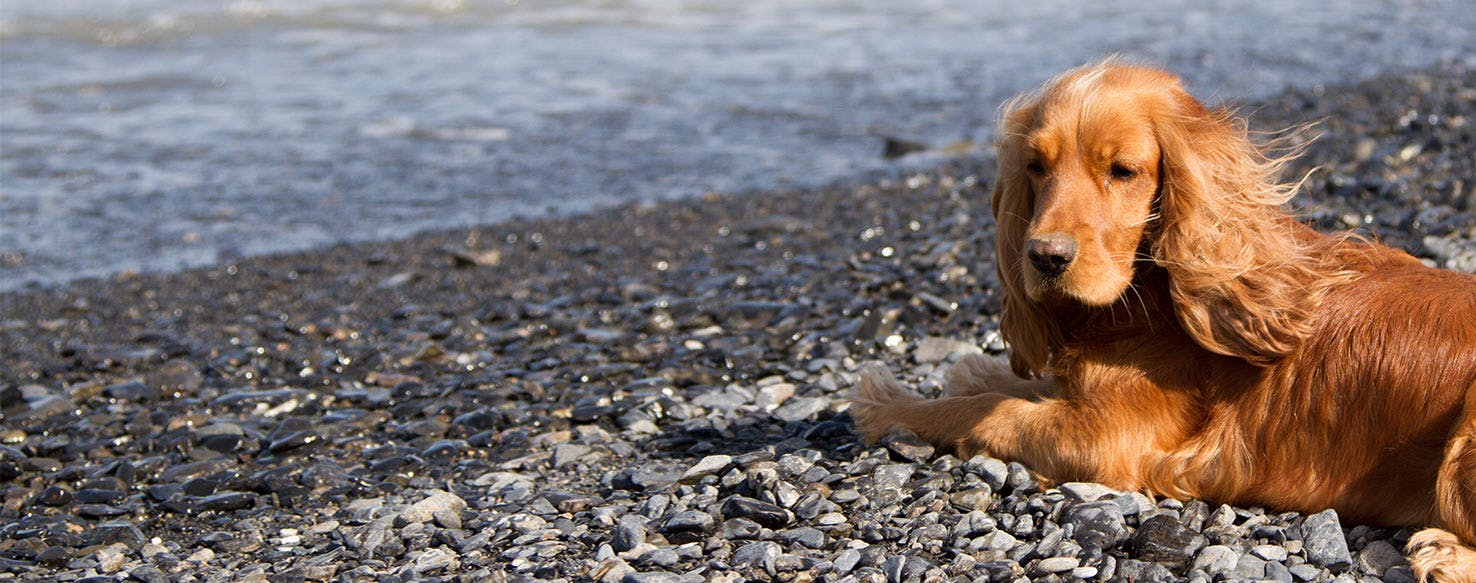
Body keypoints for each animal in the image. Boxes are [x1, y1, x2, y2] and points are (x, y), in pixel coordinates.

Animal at [850, 61, 1476, 581]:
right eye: (1035, 166)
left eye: (1123, 170)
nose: (1045, 257)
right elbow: (1010, 388)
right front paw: (968, 373)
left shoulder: (1109, 438)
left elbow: (987, 411)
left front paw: (887, 404)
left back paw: (1443, 553)